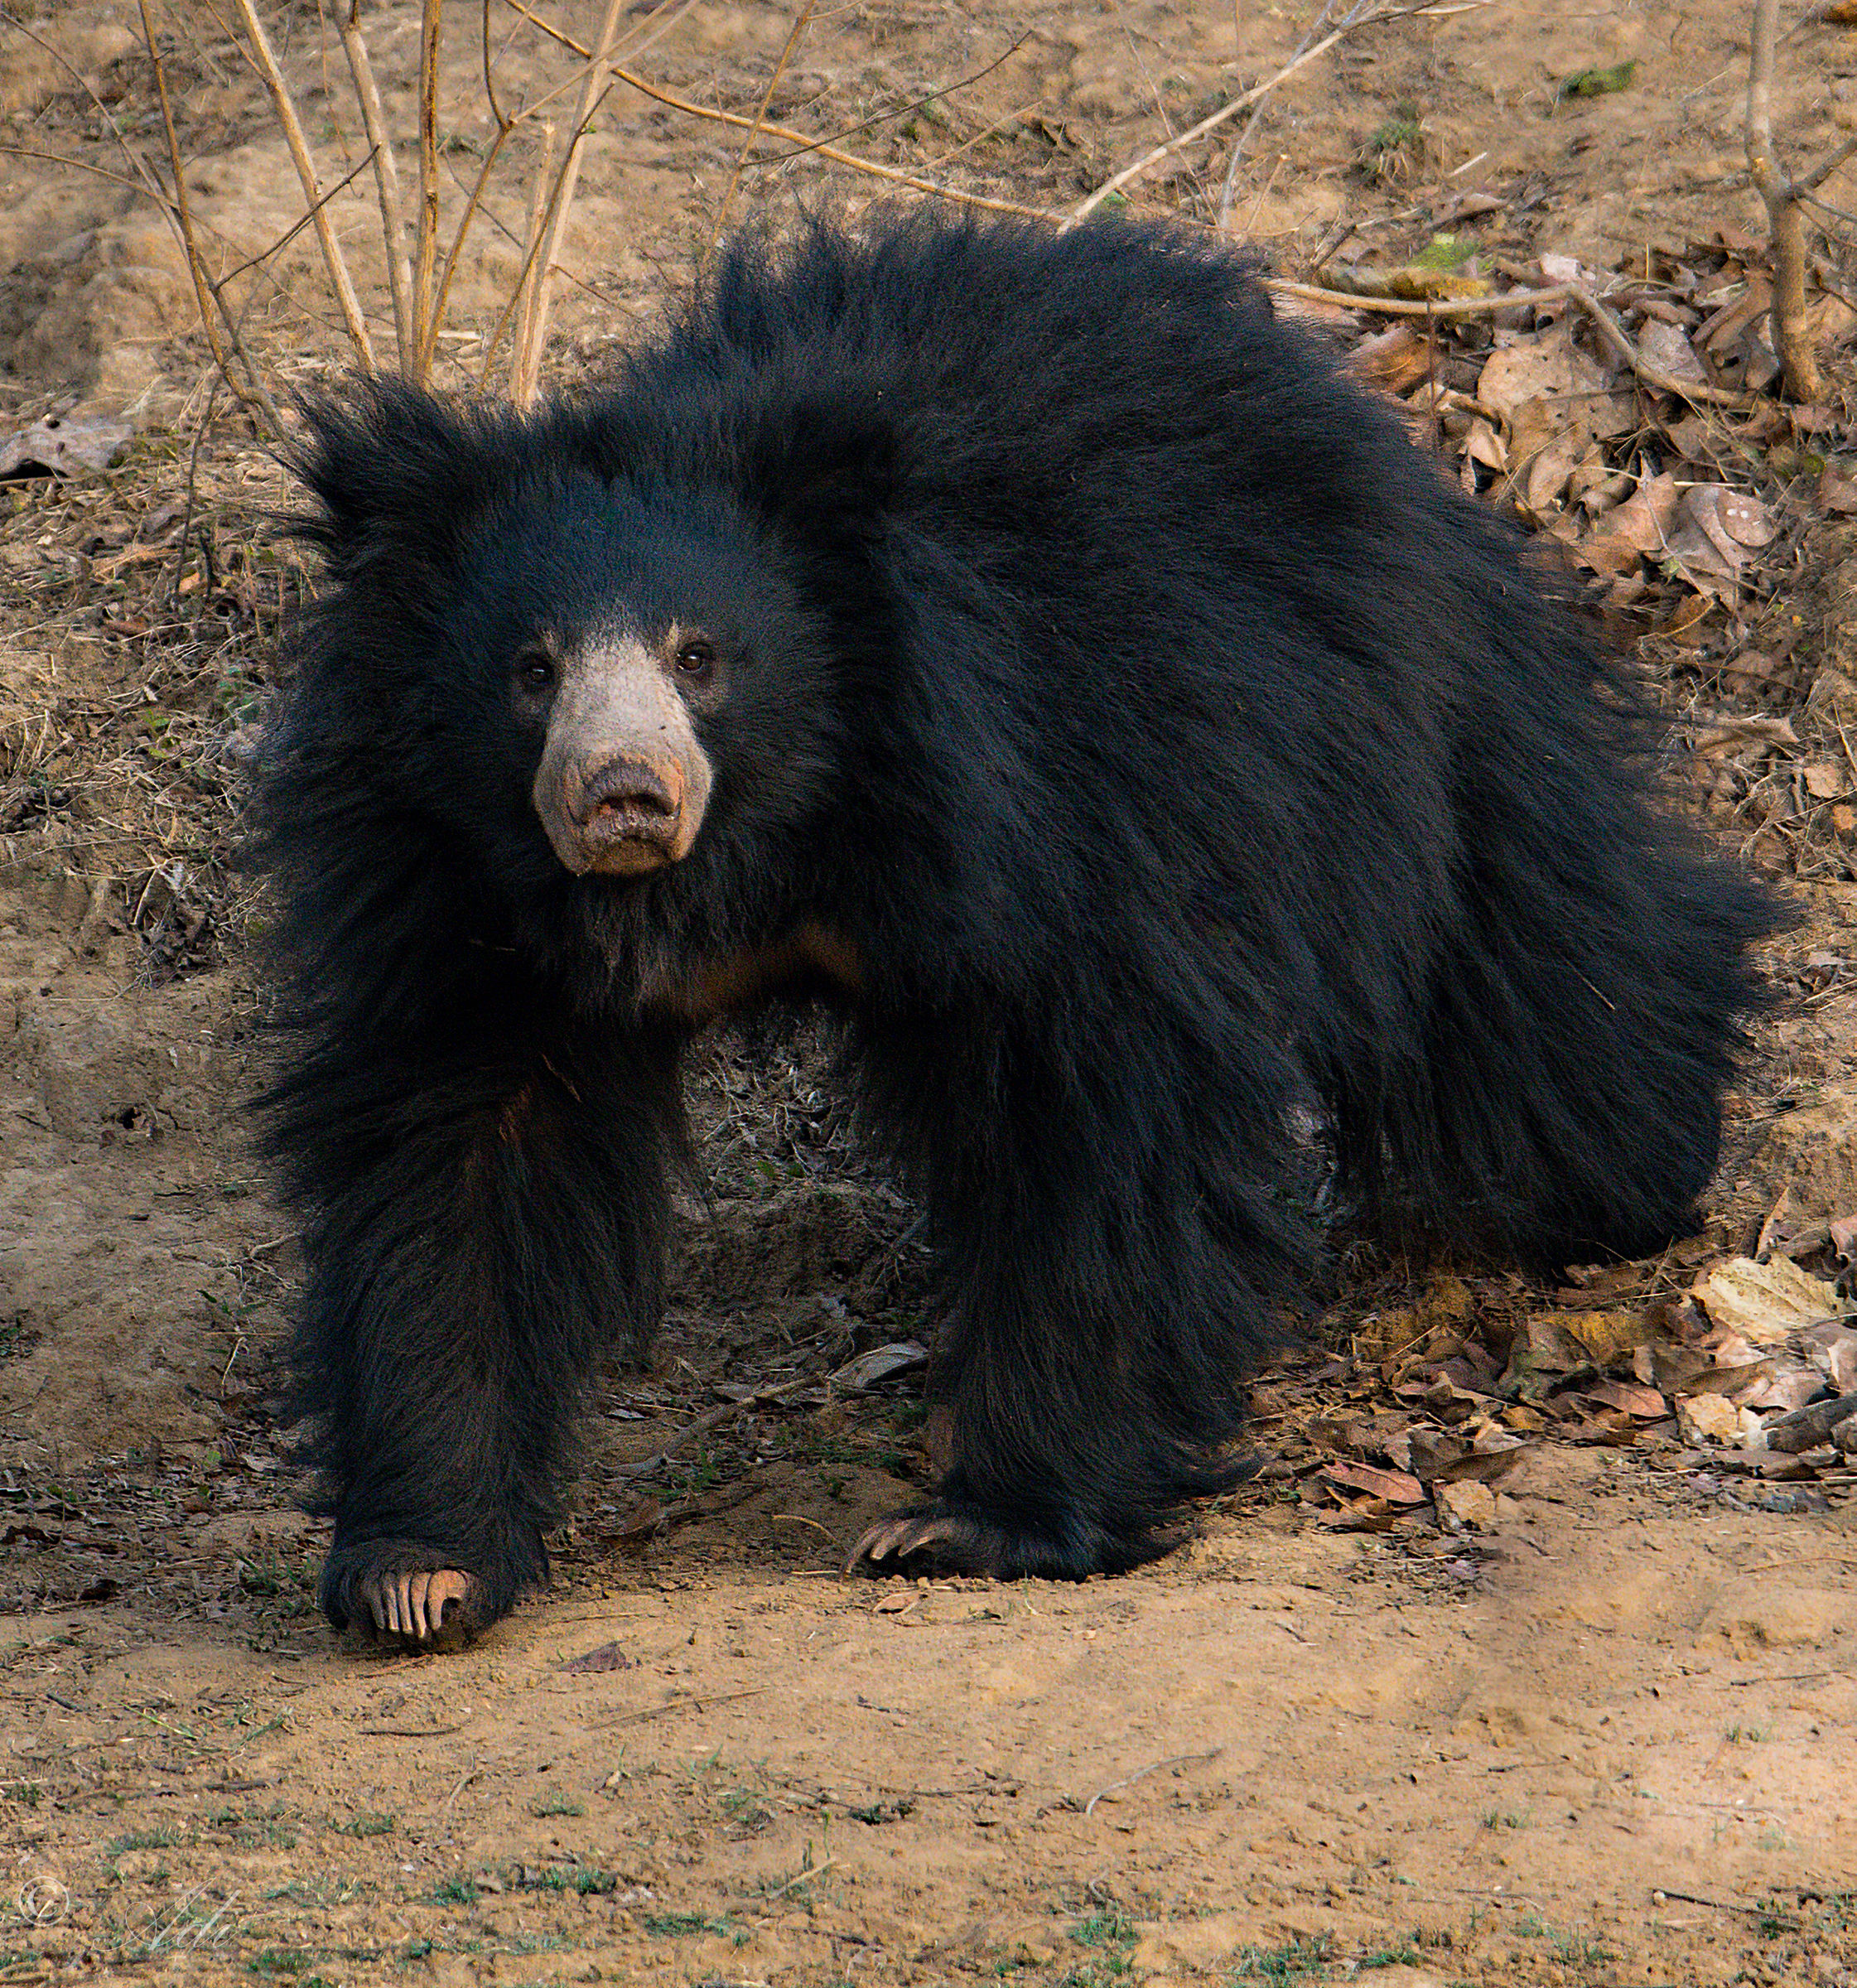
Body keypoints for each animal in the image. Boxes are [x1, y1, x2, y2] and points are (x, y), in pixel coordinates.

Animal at [254, 208, 1776, 1647]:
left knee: (1529, 960)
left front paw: (976, 1524)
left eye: (700, 658)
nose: (622, 791)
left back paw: (1633, 1176)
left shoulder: (1054, 793)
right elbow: (462, 1148)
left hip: (1382, 698)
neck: (750, 853)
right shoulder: (450, 879)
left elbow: (1101, 1114)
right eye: (532, 672)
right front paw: (419, 1570)